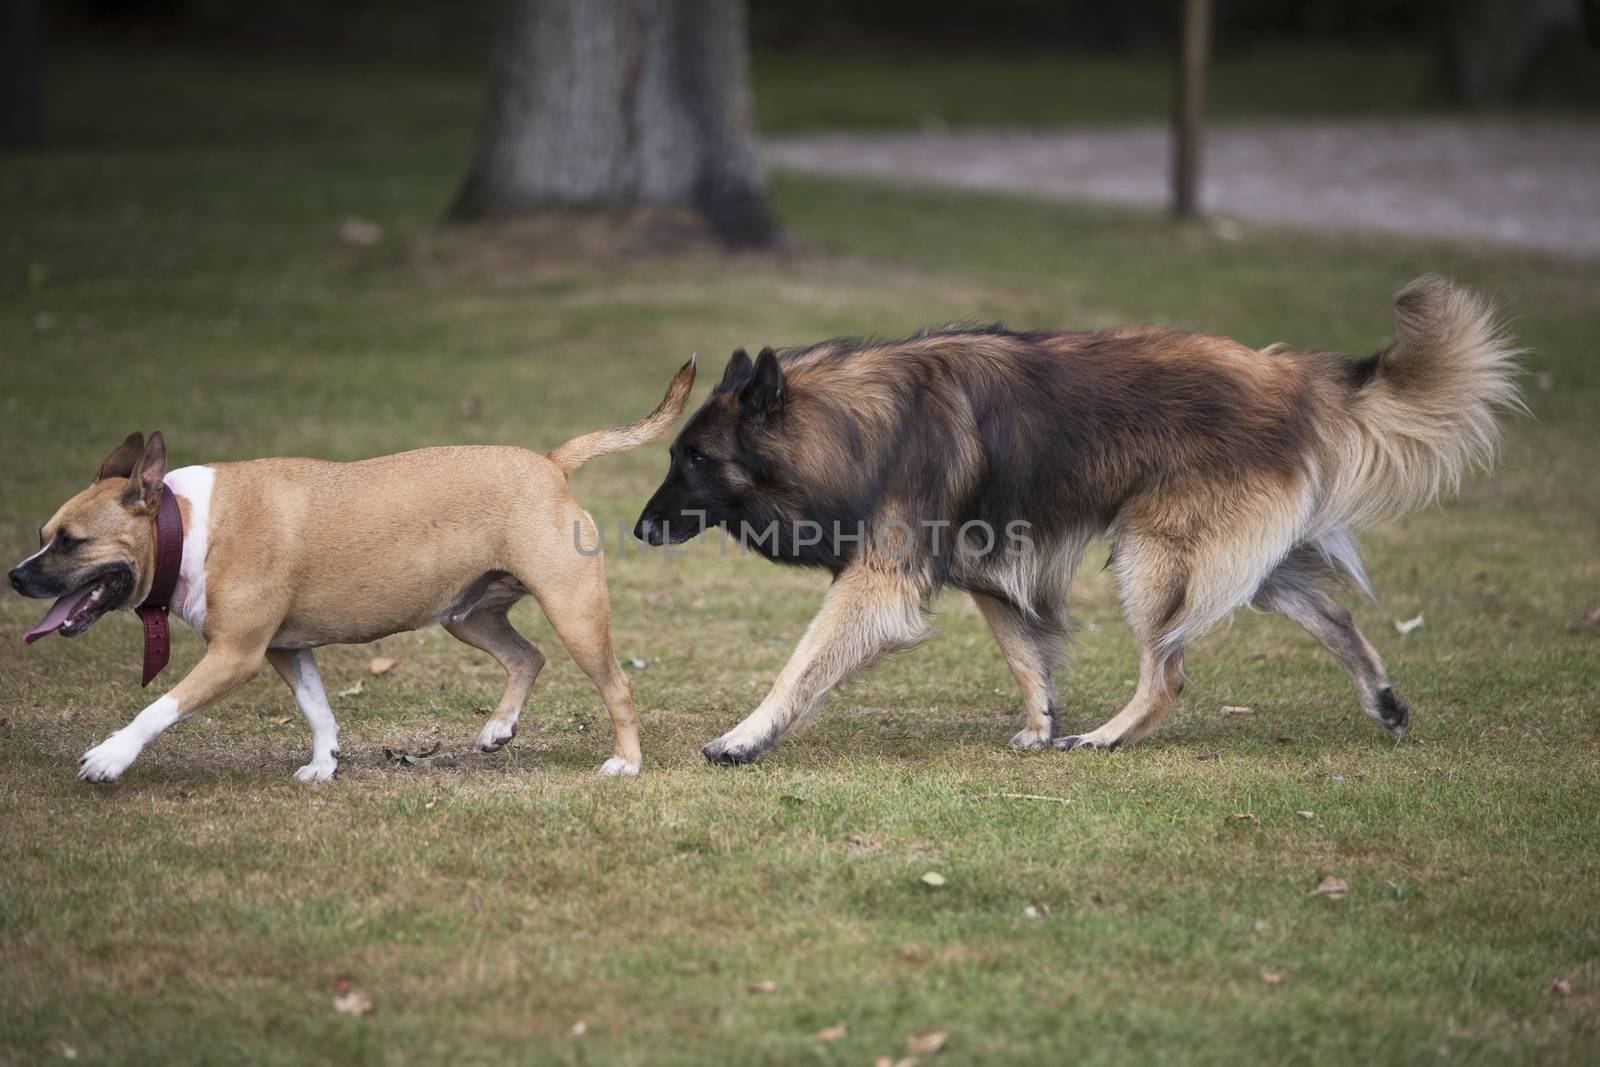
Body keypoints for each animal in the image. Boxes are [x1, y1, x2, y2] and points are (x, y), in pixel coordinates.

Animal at [7, 355, 694, 780]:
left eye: (71, 542)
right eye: (44, 536)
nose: (15, 576)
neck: (186, 526)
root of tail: (551, 462)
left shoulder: (235, 654)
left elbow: (159, 708)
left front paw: (110, 758)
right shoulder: (286, 650)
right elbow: (317, 708)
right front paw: (324, 763)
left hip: (574, 612)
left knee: (616, 686)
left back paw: (626, 762)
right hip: (467, 616)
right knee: (527, 656)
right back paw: (498, 728)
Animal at [630, 279, 1516, 764]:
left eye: (695, 459)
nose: (638, 530)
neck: (850, 425)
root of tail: (1290, 375)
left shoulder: (878, 580)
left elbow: (801, 665)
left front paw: (745, 736)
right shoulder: (985, 566)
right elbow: (1025, 653)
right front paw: (1041, 722)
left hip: (1153, 553)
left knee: (1168, 672)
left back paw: (1110, 736)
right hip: (1246, 560)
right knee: (1334, 613)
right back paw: (1384, 700)